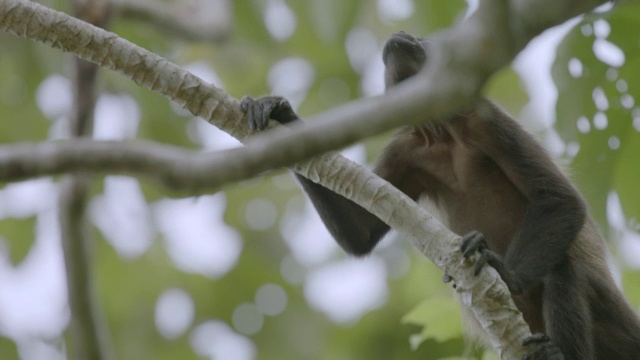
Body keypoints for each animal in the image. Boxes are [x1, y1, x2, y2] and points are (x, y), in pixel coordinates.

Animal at [240, 31, 640, 360]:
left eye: (426, 39)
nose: (401, 34)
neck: (441, 133)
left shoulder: (485, 117)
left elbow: (559, 199)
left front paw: (507, 274)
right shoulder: (405, 148)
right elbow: (360, 234)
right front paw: (281, 113)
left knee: (564, 268)